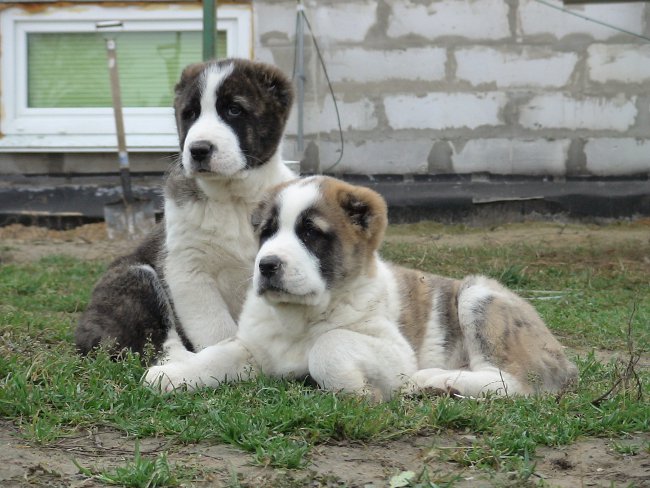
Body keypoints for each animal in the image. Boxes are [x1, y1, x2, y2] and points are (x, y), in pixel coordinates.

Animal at [75, 60, 294, 358]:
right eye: (190, 114)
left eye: (234, 109)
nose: (198, 149)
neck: (234, 198)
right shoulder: (187, 270)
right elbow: (217, 333)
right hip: (134, 276)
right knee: (157, 345)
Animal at [144, 177, 576, 398]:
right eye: (266, 232)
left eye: (310, 234)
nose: (266, 265)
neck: (301, 318)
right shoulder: (257, 347)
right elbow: (221, 353)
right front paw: (173, 374)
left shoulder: (393, 352)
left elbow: (330, 344)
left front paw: (355, 388)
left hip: (478, 294)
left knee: (514, 382)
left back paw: (436, 381)